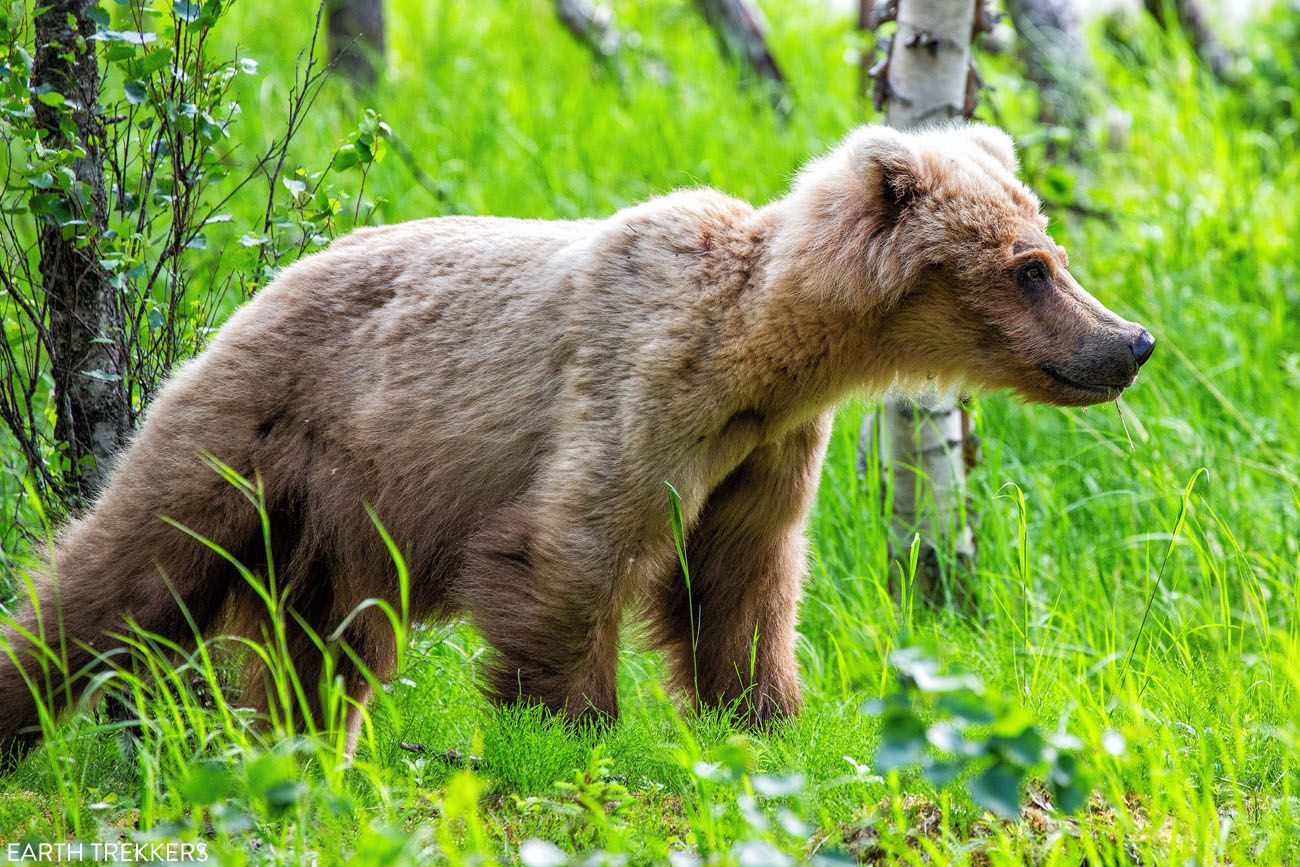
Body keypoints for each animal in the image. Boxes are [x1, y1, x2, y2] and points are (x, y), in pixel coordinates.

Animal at [0, 123, 1159, 764]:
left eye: (1050, 248)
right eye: (1027, 267)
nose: (1129, 342)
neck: (764, 351)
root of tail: (255, 284)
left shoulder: (764, 449)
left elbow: (738, 585)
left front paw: (767, 715)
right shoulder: (642, 381)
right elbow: (573, 554)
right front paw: (572, 732)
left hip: (340, 512)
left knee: (326, 639)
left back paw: (309, 739)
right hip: (265, 421)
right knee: (128, 565)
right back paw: (28, 708)